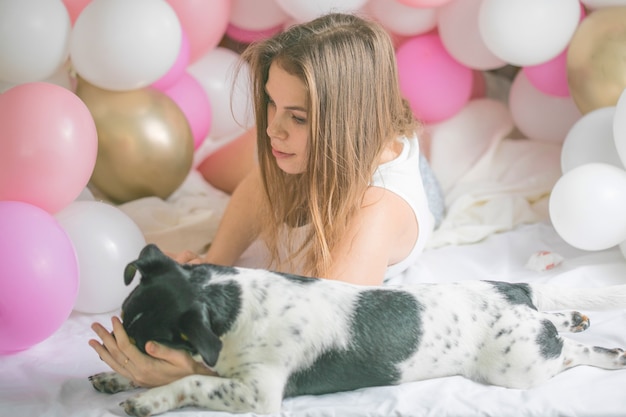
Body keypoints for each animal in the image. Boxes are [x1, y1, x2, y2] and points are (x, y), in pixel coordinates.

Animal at [89, 244, 624, 416]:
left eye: (145, 343)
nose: (121, 351)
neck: (235, 302)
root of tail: (512, 289)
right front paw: (115, 377)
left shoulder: (258, 394)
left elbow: (192, 380)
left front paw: (148, 398)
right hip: (525, 330)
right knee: (554, 321)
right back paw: (574, 316)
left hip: (517, 366)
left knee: (570, 352)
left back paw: (608, 353)